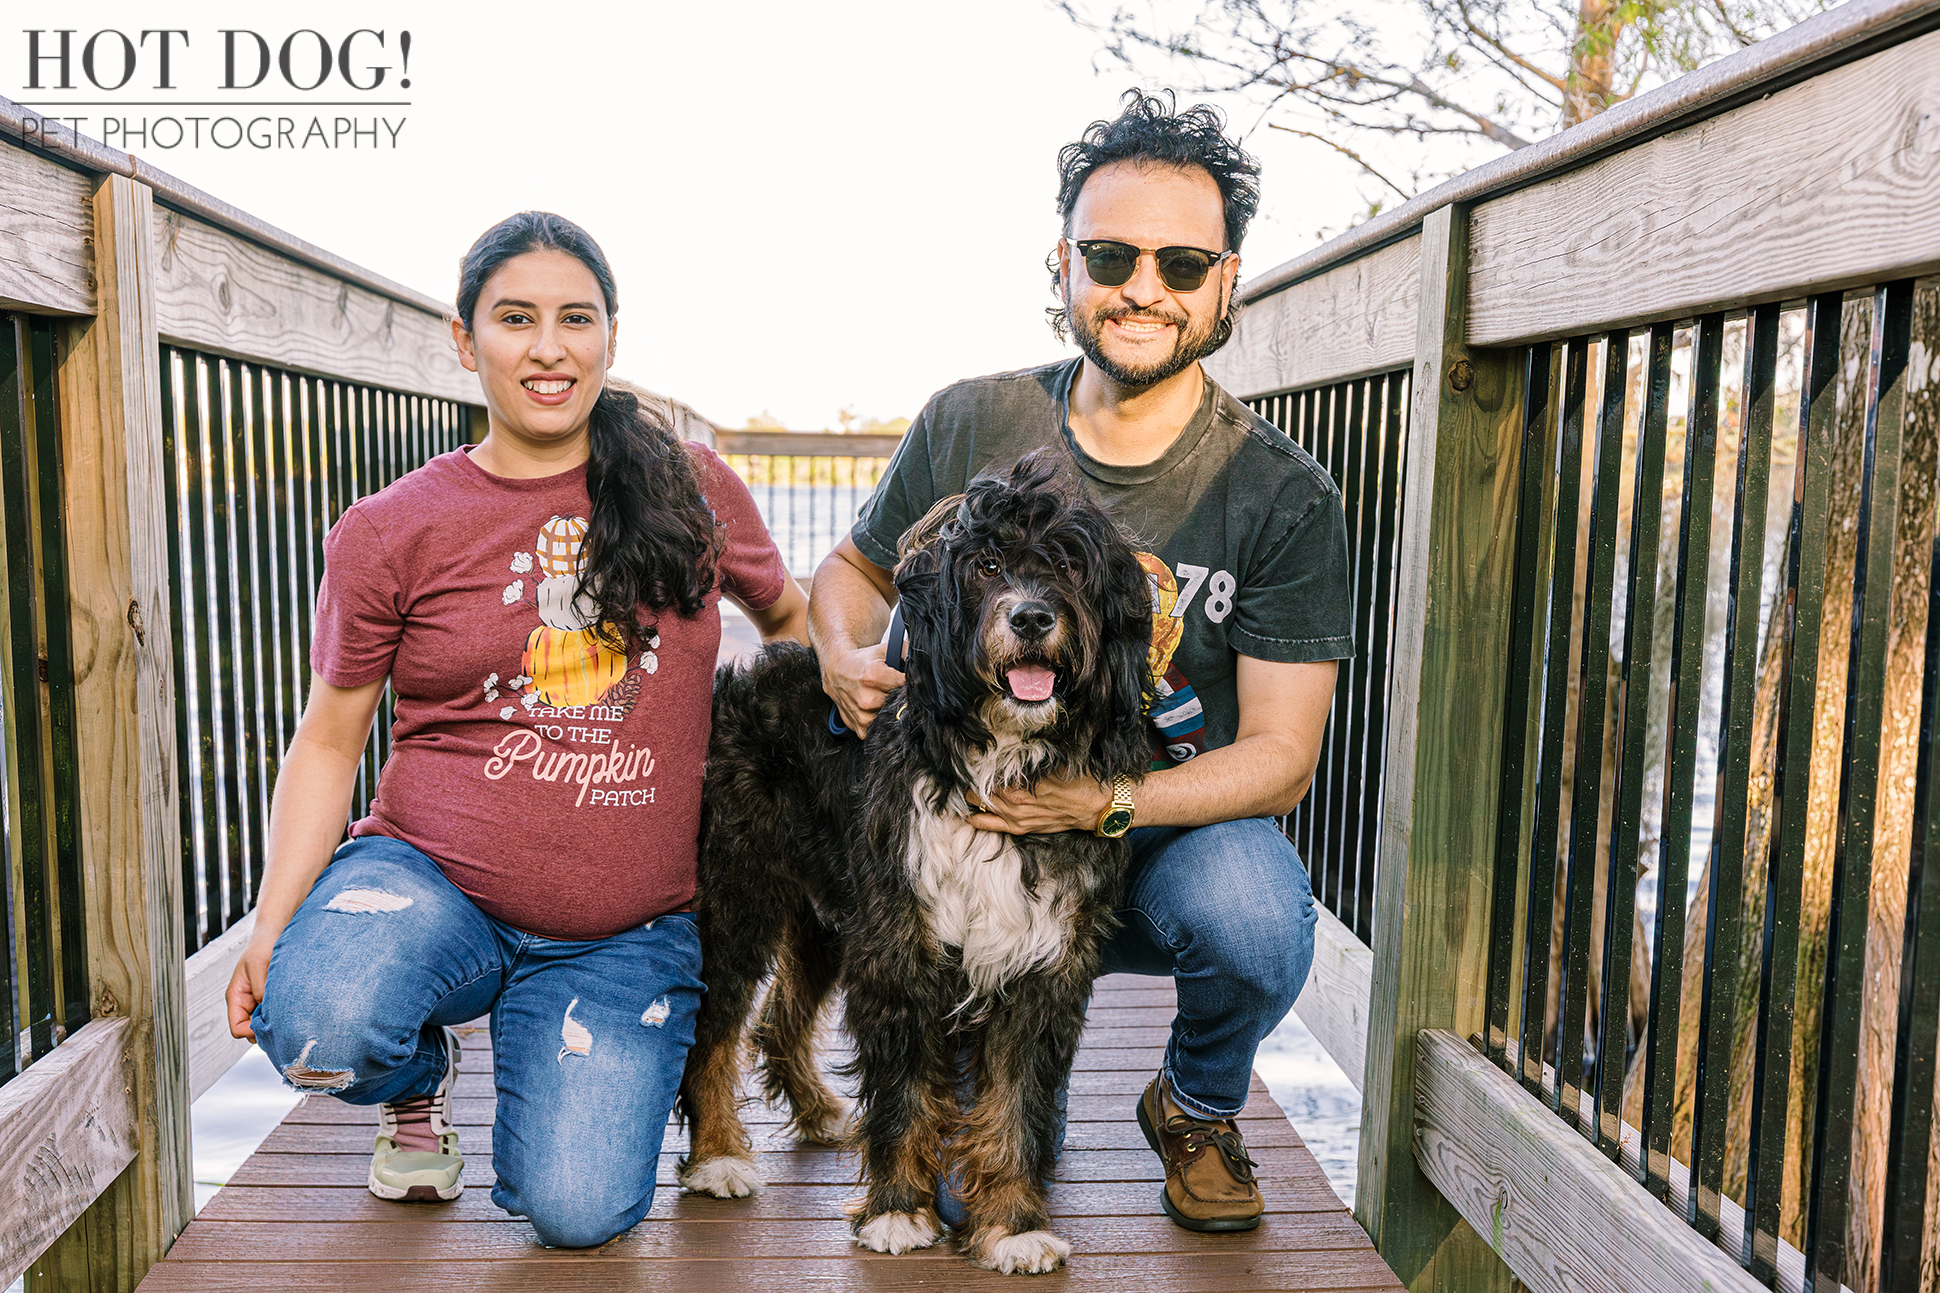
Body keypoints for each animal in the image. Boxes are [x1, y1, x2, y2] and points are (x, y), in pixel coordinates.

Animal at [679, 450, 1148, 1265]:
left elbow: (1014, 1103)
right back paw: (717, 1157)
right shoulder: (899, 946)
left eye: (1068, 567)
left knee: (779, 1019)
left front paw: (1014, 1224)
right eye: (986, 565)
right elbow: (903, 1088)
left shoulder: (1041, 960)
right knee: (714, 1028)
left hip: (828, 917)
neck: (991, 758)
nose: (1032, 617)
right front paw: (897, 1209)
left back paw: (820, 1111)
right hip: (739, 896)